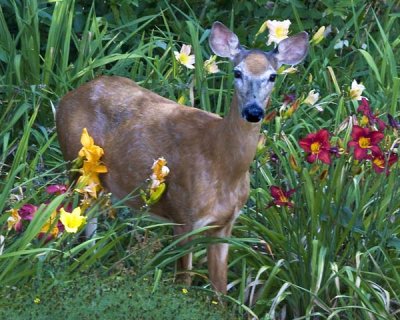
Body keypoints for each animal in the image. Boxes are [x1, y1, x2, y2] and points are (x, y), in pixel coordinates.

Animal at [56, 21, 308, 294]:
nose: (253, 111)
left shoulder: (226, 224)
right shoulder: (182, 215)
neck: (222, 166)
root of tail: (67, 96)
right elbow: (183, 282)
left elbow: (220, 289)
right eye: (237, 72)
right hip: (74, 165)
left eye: (272, 76)